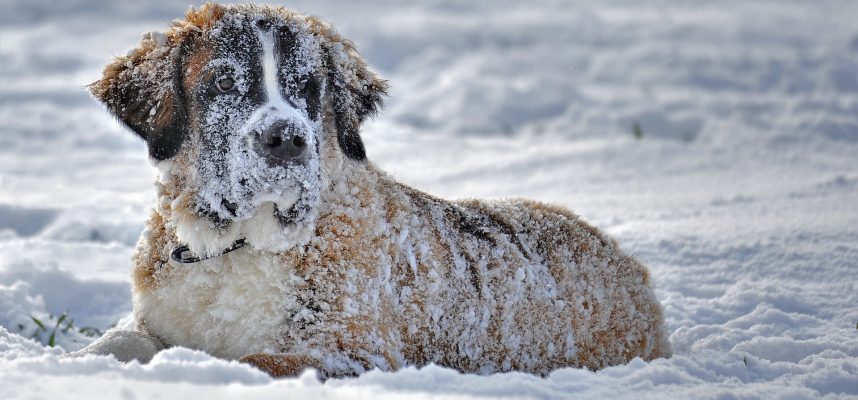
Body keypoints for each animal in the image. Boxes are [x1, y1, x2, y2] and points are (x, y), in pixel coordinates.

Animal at [75, 3, 668, 378]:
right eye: (222, 82)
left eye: (309, 87)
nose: (286, 139)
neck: (234, 246)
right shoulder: (154, 321)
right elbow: (115, 343)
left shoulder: (352, 353)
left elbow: (252, 361)